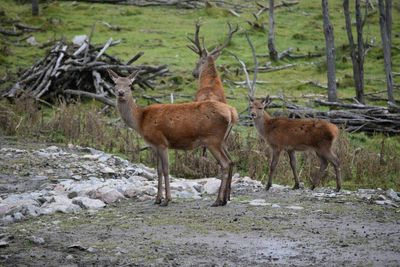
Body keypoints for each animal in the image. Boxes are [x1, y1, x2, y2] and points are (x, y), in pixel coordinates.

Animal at [106, 69, 238, 207]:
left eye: (130, 84)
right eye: (115, 83)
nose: (121, 93)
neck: (140, 121)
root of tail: (232, 112)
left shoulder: (161, 142)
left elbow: (166, 169)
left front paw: (167, 200)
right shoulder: (154, 146)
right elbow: (158, 170)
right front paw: (157, 199)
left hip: (212, 140)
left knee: (225, 163)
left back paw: (218, 200)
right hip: (222, 141)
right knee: (230, 161)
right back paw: (224, 199)